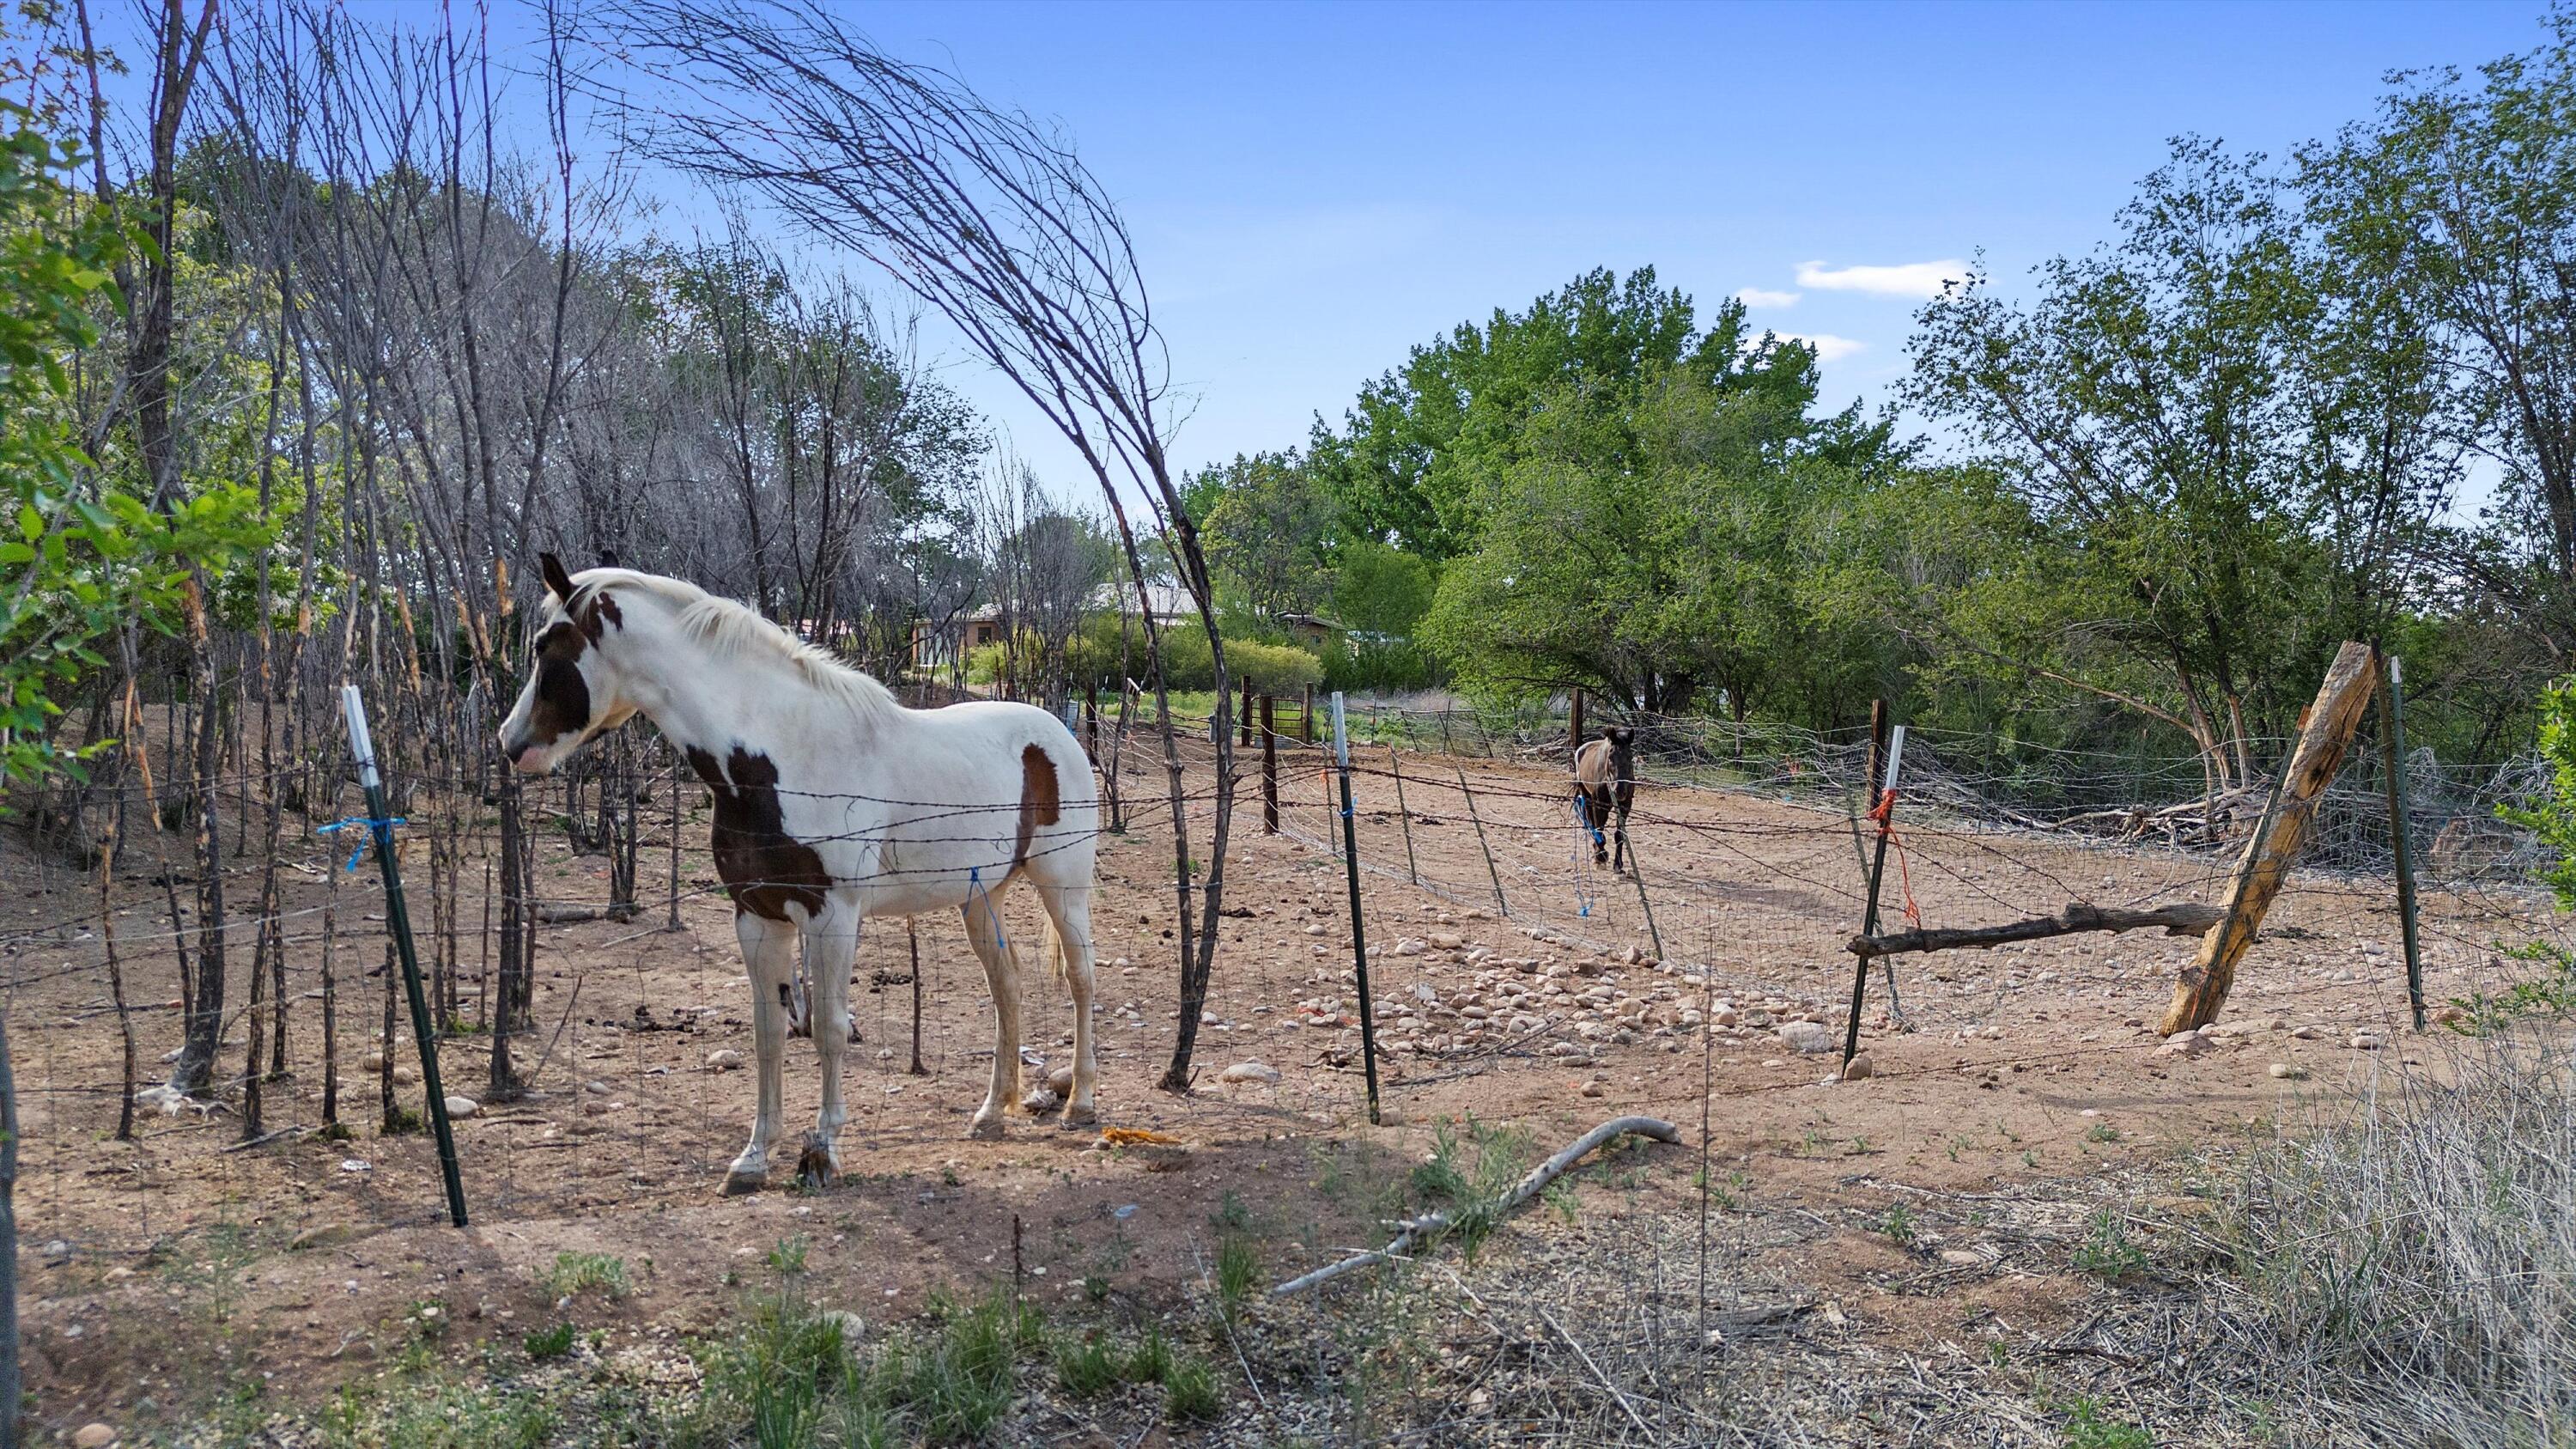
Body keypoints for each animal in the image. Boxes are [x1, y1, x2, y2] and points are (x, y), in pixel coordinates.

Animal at [502, 551, 1097, 1185]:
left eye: (546, 645)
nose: (511, 742)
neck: (779, 759)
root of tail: (1056, 733)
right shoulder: (758, 916)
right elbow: (770, 1033)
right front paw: (754, 1156)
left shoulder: (832, 915)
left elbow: (830, 1028)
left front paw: (823, 1149)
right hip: (982, 897)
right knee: (1006, 986)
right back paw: (990, 1112)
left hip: (1063, 886)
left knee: (1081, 979)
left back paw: (1081, 1105)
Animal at [1566, 721, 1628, 866]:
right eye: (1610, 757)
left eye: (1630, 757)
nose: (1620, 791)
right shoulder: (1598, 804)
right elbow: (1598, 827)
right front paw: (1600, 855)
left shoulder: (1625, 806)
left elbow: (1619, 835)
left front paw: (1618, 864)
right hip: (1587, 796)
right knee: (1593, 822)